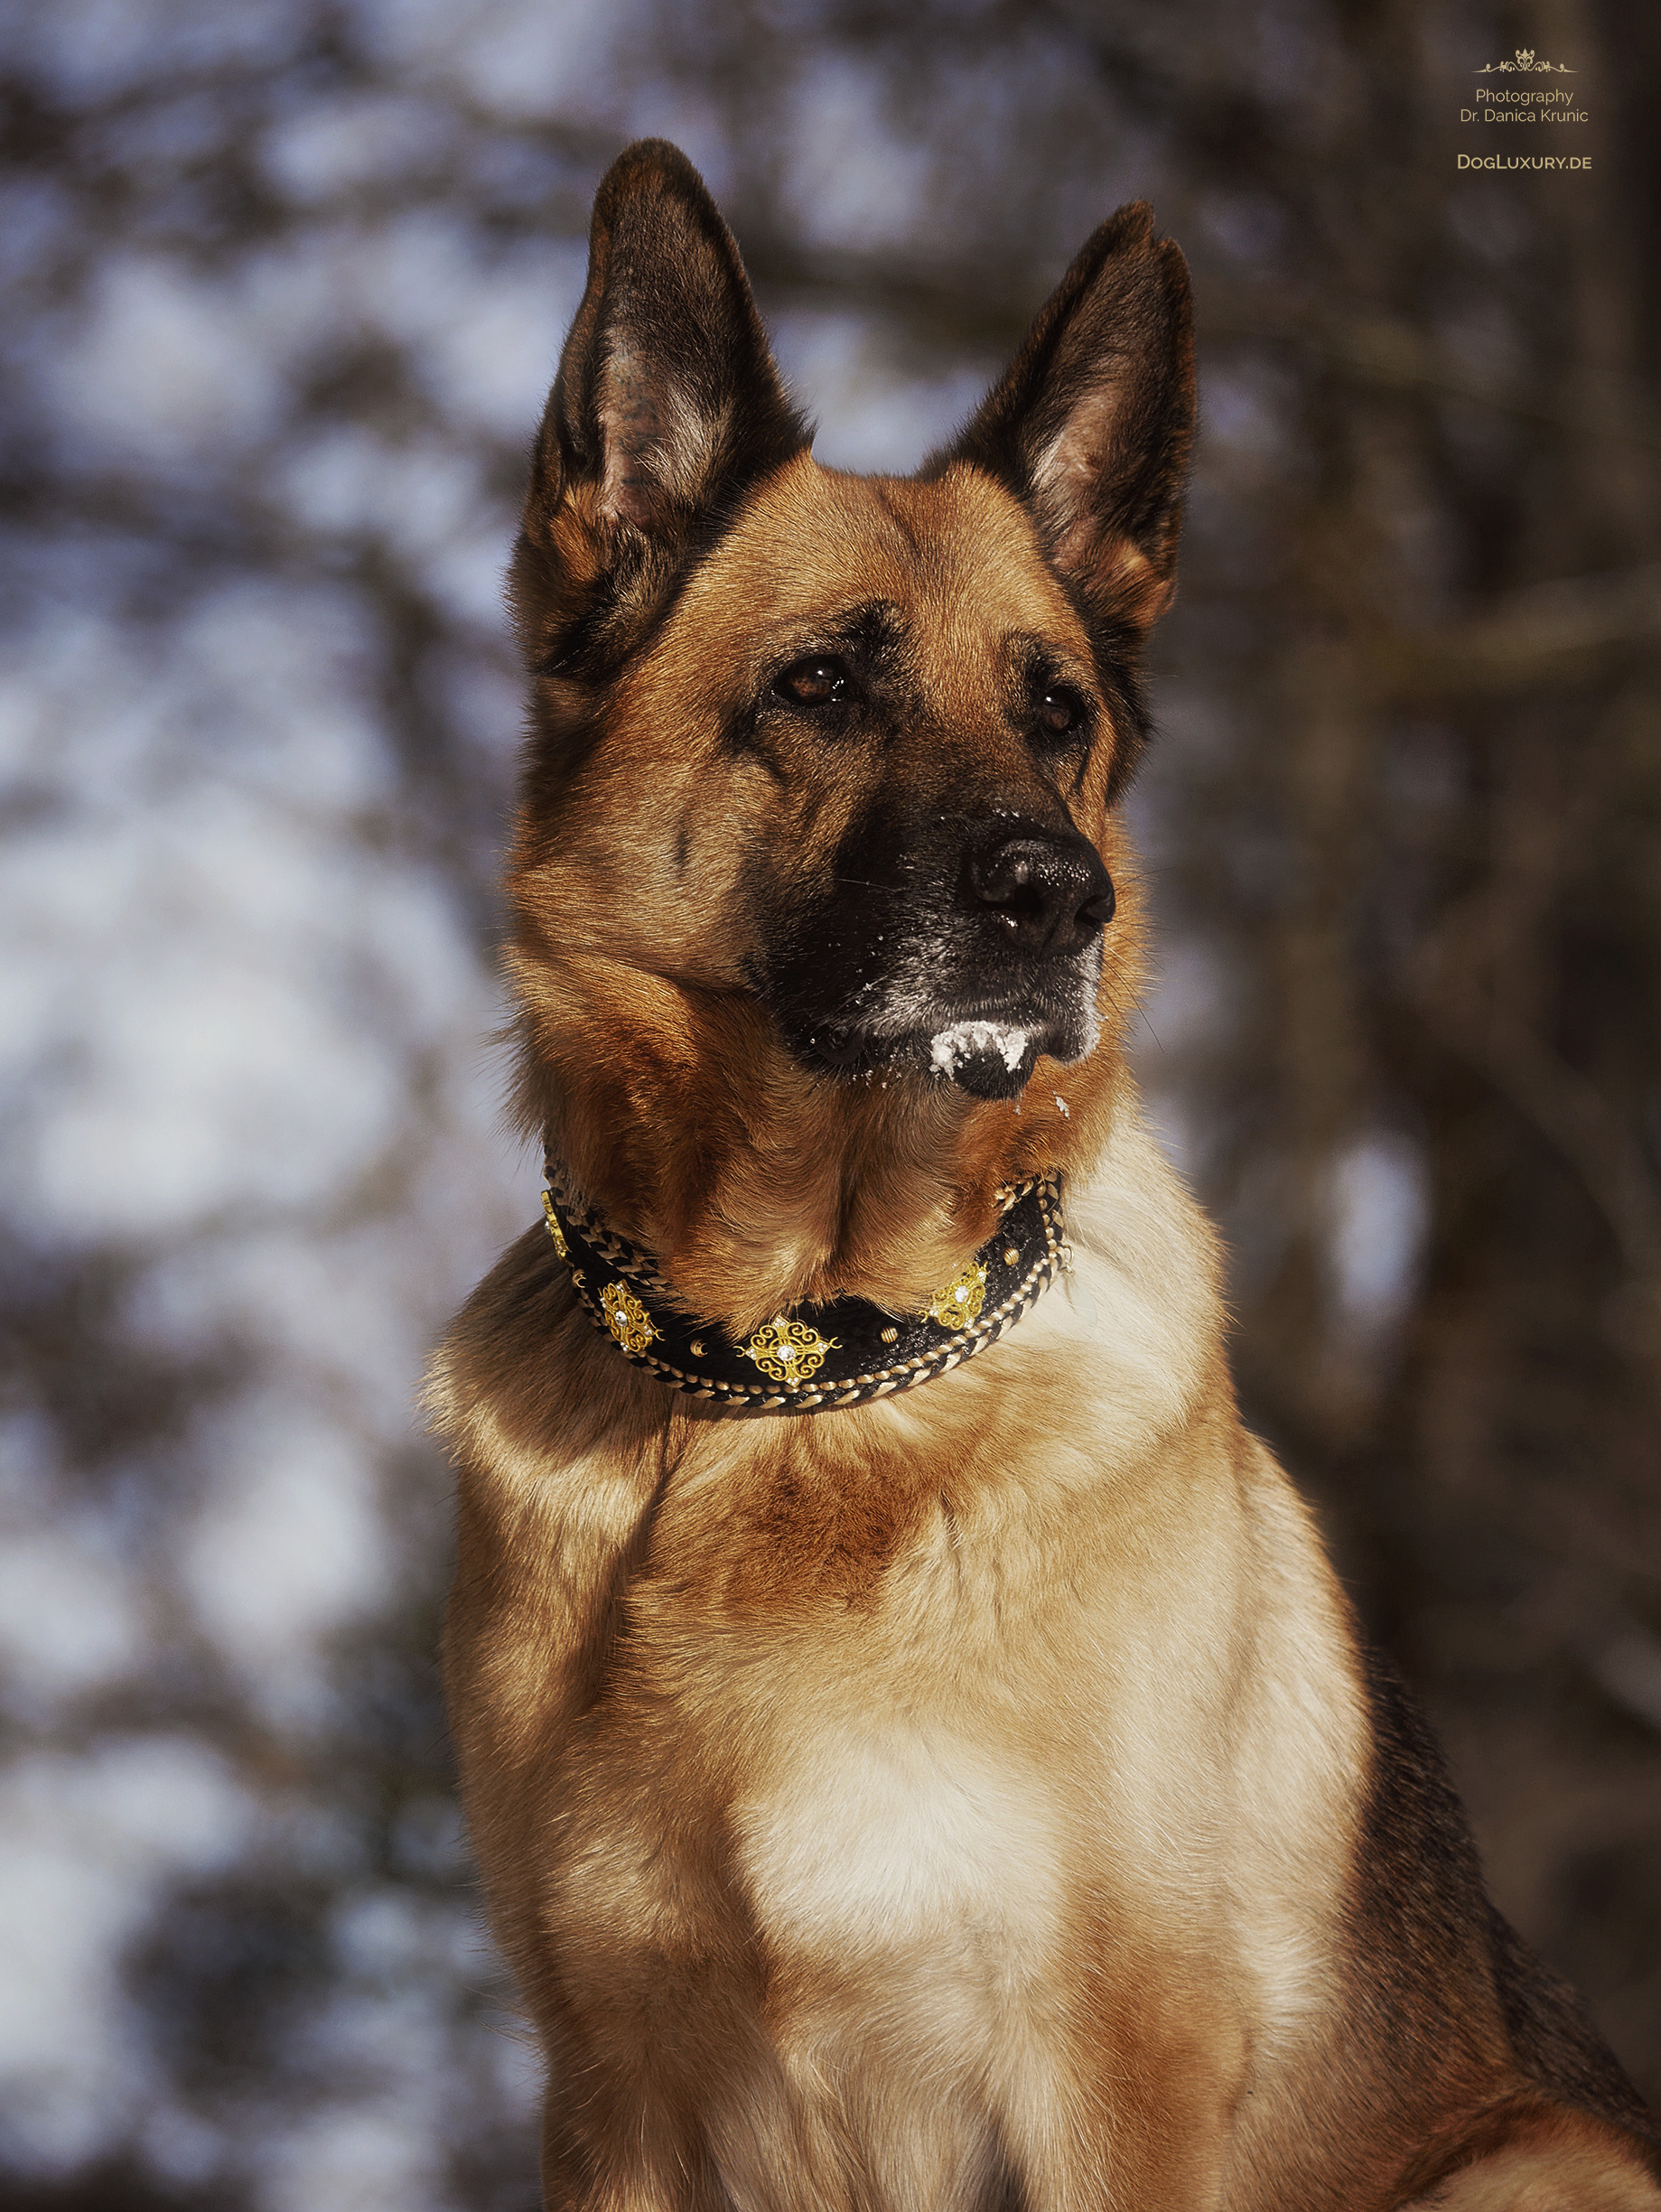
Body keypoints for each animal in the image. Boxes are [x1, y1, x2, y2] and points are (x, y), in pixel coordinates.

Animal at [431, 142, 1661, 2212]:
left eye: (1055, 708)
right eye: (819, 685)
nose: (1056, 902)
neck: (796, 1386)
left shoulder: (1106, 2076)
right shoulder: (614, 2101)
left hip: (1535, 2160)